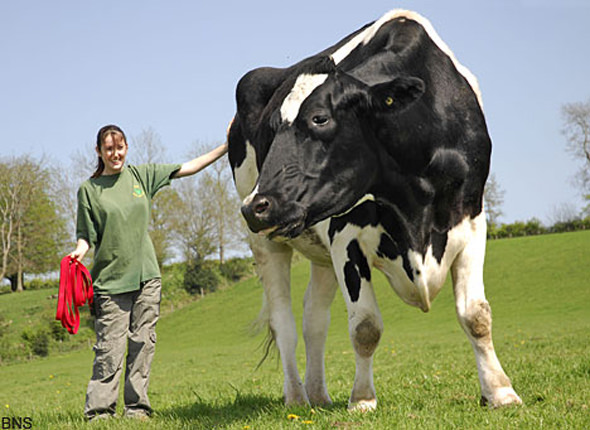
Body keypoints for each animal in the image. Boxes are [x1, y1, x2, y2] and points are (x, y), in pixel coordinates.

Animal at [227, 7, 524, 410]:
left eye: (319, 118)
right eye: (270, 130)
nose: (256, 206)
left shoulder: (472, 218)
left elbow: (476, 315)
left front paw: (500, 391)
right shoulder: (345, 235)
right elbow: (365, 326)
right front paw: (363, 399)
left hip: (319, 252)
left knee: (314, 318)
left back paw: (319, 396)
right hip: (267, 243)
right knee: (283, 322)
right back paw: (297, 398)